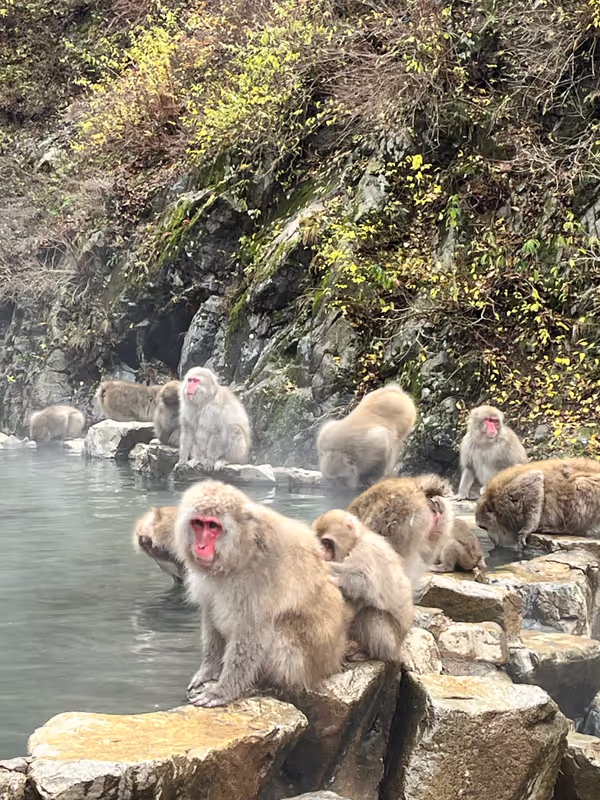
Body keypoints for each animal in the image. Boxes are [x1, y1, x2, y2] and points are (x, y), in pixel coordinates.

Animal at [174, 480, 346, 707]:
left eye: (213, 526)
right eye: (198, 524)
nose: (200, 546)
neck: (242, 551)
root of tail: (334, 659)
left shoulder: (261, 577)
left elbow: (253, 630)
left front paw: (223, 690)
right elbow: (210, 613)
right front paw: (209, 669)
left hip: (306, 661)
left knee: (279, 628)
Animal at [313, 509, 414, 662]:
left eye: (326, 542)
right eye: (319, 541)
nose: (321, 551)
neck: (356, 541)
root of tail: (398, 650)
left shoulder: (366, 550)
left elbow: (363, 581)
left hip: (392, 642)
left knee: (370, 613)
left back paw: (369, 653)